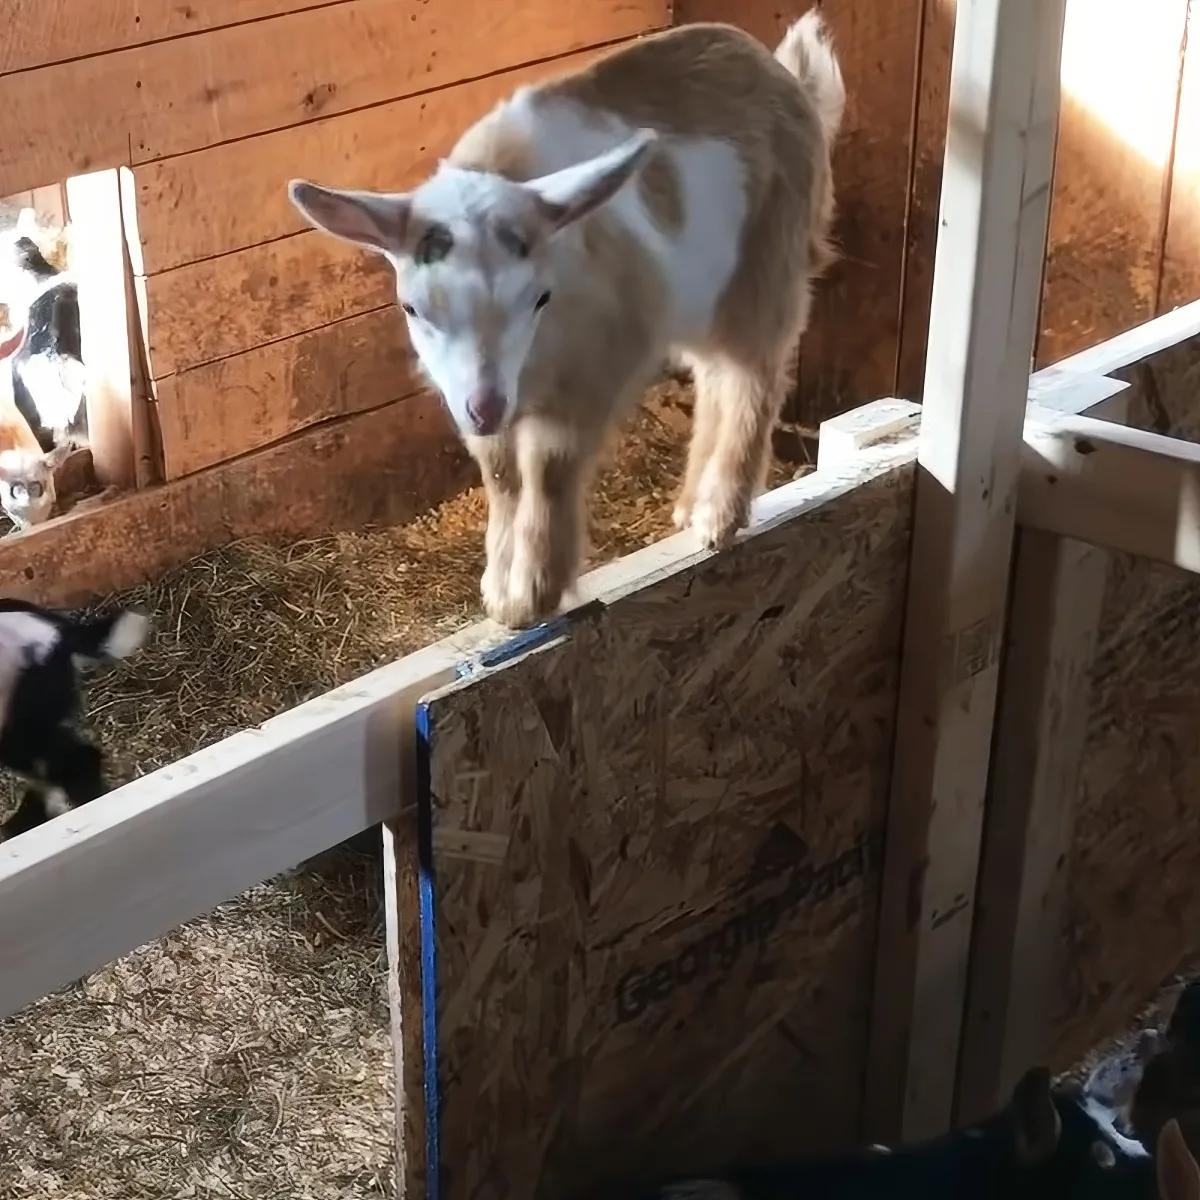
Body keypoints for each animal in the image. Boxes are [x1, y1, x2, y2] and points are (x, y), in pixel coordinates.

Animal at [287, 14, 845, 628]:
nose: (486, 409)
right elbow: (501, 478)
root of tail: (784, 74)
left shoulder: (590, 372)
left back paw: (719, 516)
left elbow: (547, 470)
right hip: (703, 296)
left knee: (754, 378)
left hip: (768, 265)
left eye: (540, 297)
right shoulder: (476, 397)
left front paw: (533, 594)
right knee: (716, 377)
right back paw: (688, 508)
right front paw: (498, 593)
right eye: (413, 308)